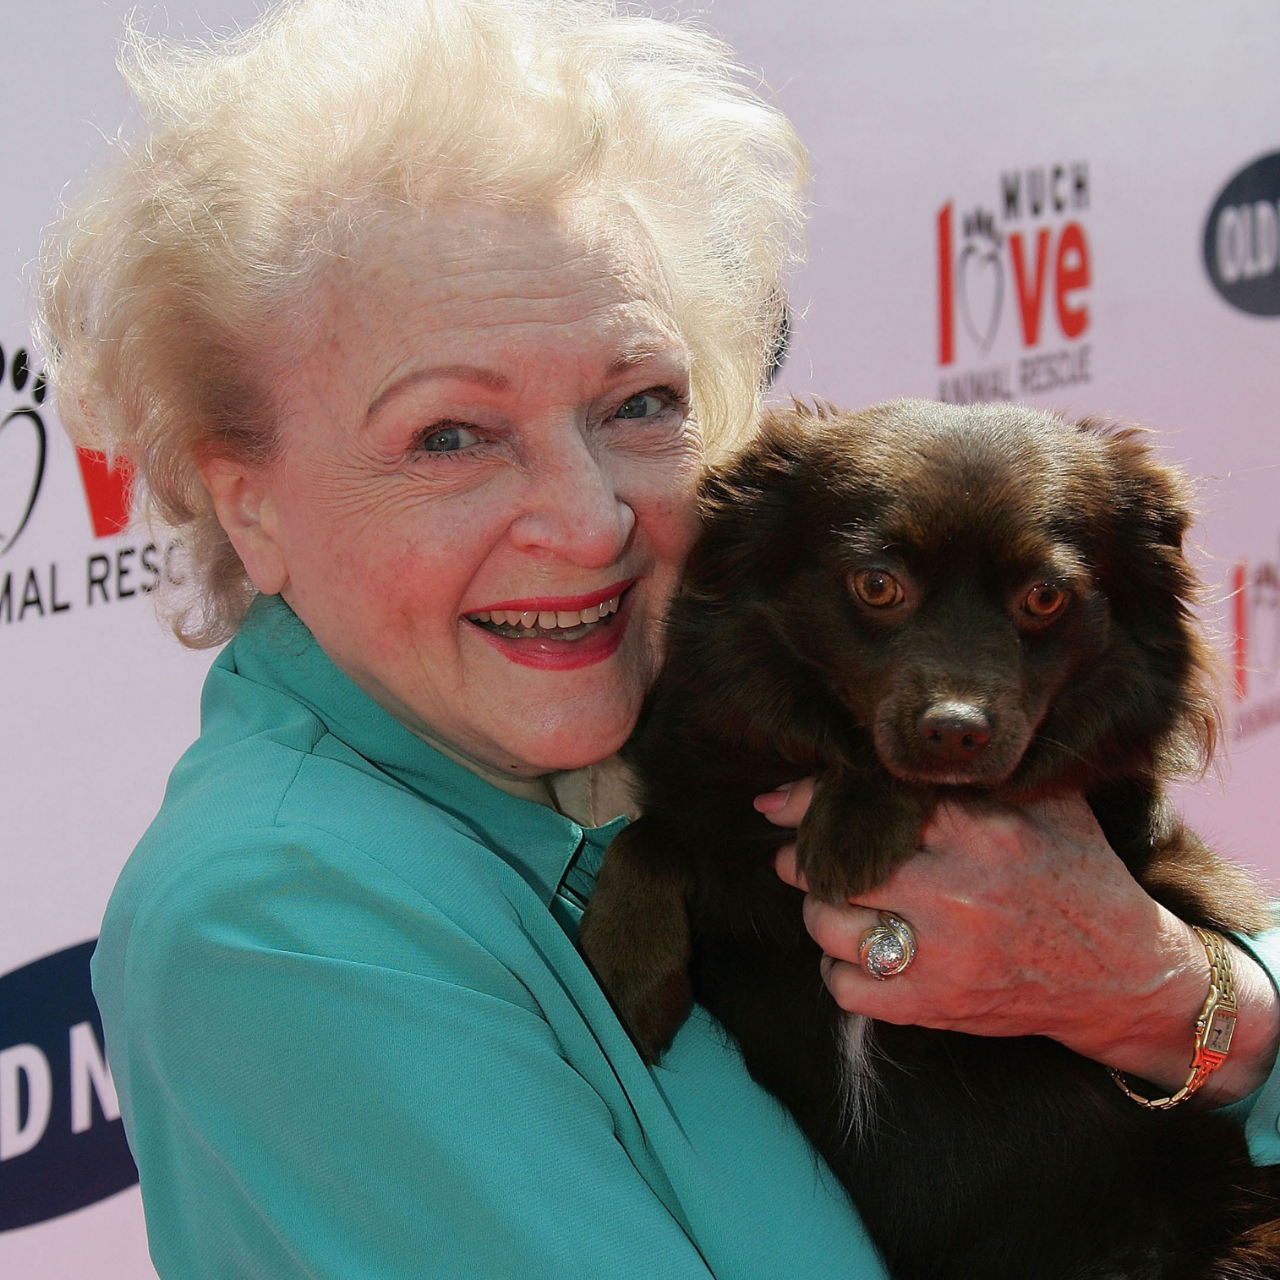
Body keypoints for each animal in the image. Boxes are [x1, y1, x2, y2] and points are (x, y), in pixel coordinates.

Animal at [581, 399, 1280, 1280]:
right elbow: (655, 835)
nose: (955, 730)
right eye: (877, 584)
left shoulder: (1162, 865)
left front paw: (855, 820)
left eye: (1045, 597)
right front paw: (626, 971)